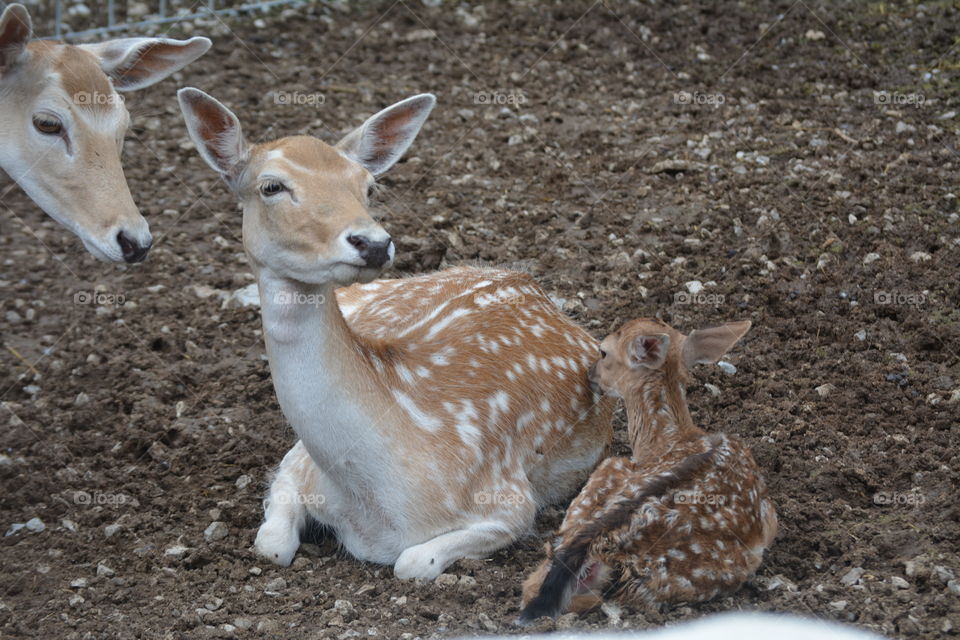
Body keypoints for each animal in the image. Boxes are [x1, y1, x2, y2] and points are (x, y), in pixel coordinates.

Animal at [176, 87, 616, 579]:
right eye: (271, 186)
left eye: (368, 186)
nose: (373, 243)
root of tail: (528, 280)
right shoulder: (298, 464)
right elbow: (270, 545)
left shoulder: (511, 501)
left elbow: (412, 563)